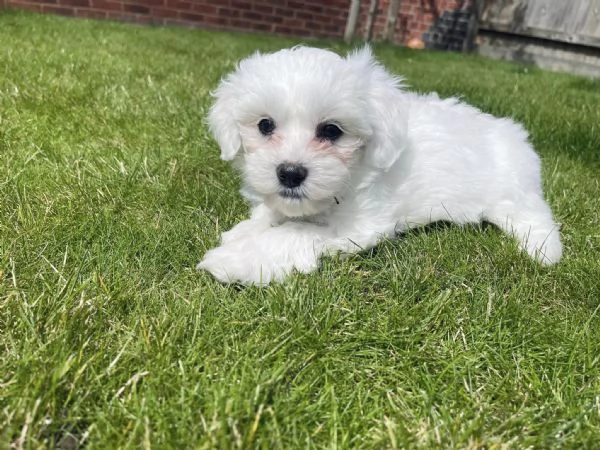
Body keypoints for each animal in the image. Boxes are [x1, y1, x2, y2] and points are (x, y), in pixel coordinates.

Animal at [198, 46, 564, 284]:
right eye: (265, 125)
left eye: (332, 131)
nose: (290, 173)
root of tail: (514, 133)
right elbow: (272, 215)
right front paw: (245, 231)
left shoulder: (358, 226)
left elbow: (296, 232)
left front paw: (235, 260)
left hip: (512, 193)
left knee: (536, 216)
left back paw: (544, 251)